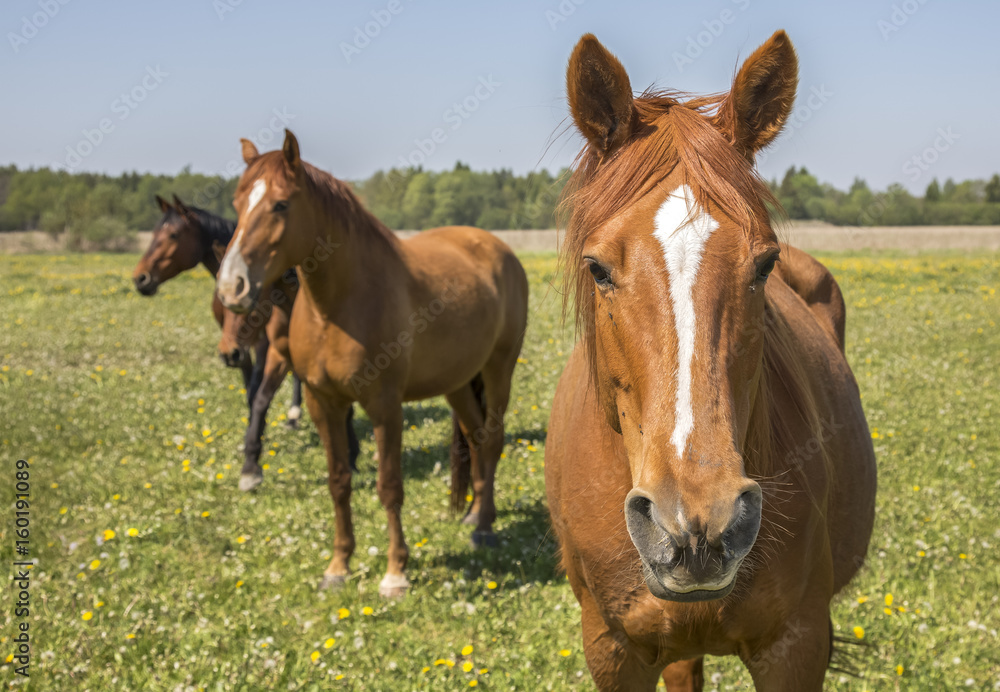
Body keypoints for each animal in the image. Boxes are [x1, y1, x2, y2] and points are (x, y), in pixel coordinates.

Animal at [217, 132, 532, 596]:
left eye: (280, 204)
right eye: (238, 204)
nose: (231, 287)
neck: (338, 307)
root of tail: (498, 248)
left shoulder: (385, 407)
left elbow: (389, 486)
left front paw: (395, 572)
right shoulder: (323, 404)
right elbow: (338, 482)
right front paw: (338, 566)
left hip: (498, 370)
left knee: (492, 440)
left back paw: (484, 529)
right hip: (458, 383)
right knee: (476, 439)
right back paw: (475, 514)